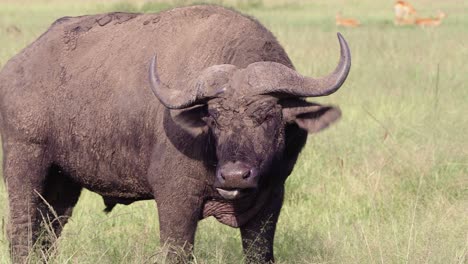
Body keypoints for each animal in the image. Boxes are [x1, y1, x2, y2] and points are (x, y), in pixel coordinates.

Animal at [0, 5, 350, 262]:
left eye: (267, 115)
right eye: (214, 119)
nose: (235, 175)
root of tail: (15, 67)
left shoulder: (272, 198)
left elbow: (260, 253)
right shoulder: (175, 198)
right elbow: (177, 252)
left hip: (63, 182)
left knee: (48, 232)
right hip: (24, 161)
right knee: (22, 229)